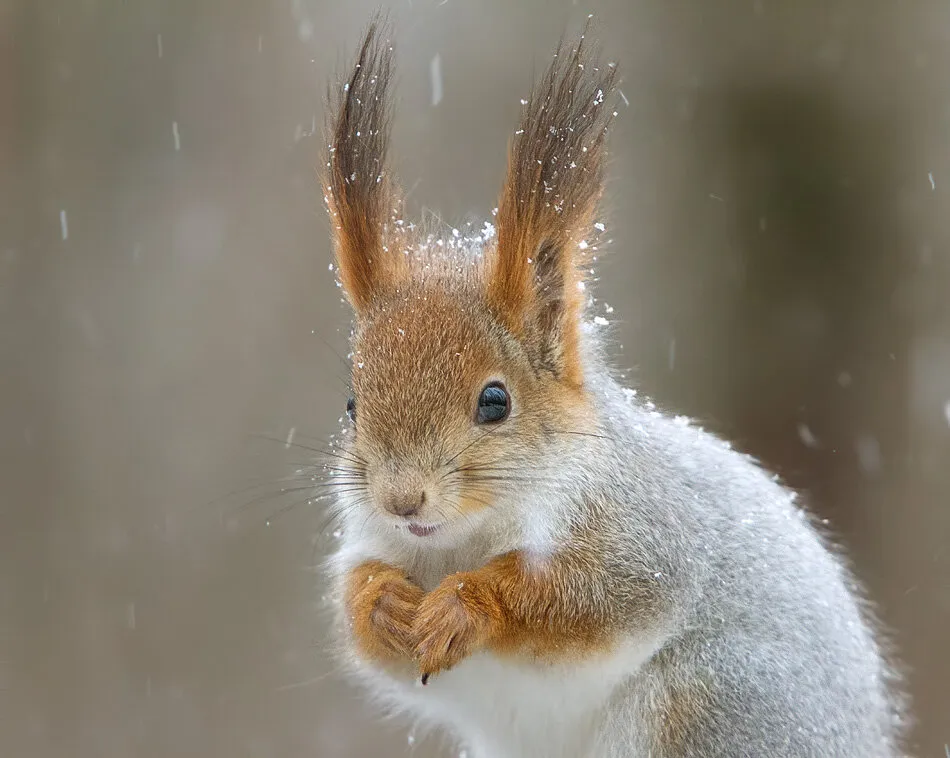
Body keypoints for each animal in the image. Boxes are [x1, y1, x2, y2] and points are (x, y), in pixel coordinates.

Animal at [322, 13, 916, 758]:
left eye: (495, 401)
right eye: (351, 403)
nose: (402, 500)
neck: (461, 539)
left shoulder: (643, 528)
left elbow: (599, 593)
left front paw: (467, 604)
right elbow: (362, 627)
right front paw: (381, 602)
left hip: (714, 701)